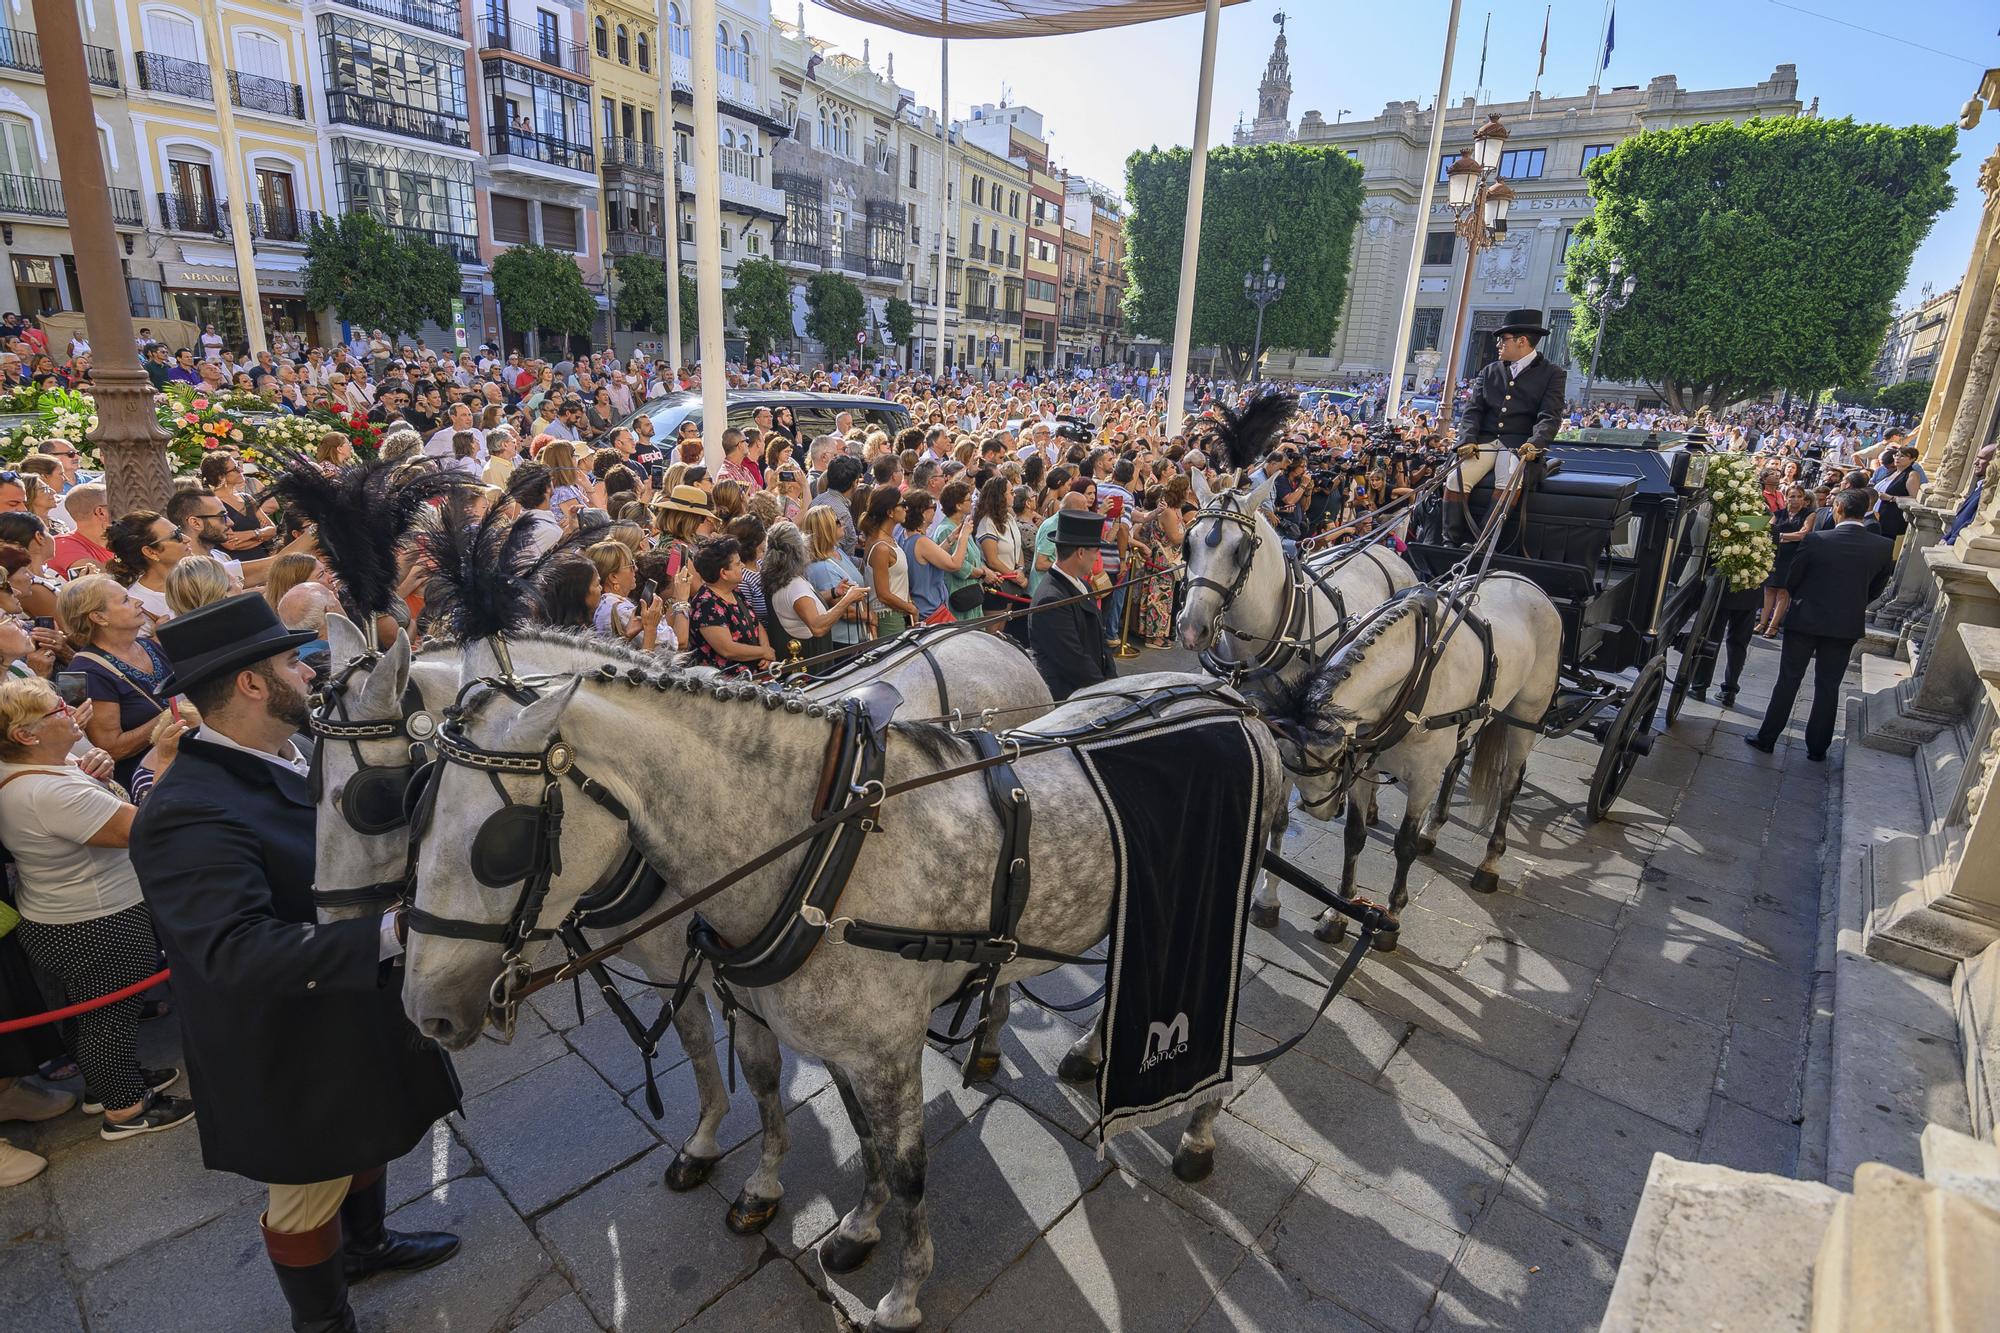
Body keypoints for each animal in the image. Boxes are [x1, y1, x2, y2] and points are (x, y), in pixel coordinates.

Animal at [398, 660, 1288, 1320]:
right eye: (415, 816)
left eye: (501, 844)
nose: (425, 1012)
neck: (819, 844)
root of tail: (1232, 695)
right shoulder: (825, 1039)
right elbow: (858, 1138)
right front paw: (858, 1228)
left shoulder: (887, 1048)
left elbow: (909, 1166)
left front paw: (903, 1292)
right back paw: (1093, 1048)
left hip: (1220, 908)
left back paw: (1198, 1128)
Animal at [1168, 472, 1424, 928]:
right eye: (1189, 544)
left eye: (1240, 550)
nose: (1192, 628)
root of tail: (1383, 546)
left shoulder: (1286, 733)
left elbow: (1279, 819)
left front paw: (1266, 898)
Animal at [1272, 576, 1568, 940]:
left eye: (1332, 760)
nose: (1320, 811)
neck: (1413, 673)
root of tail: (1529, 585)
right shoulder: (1363, 770)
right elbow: (1354, 836)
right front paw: (1338, 912)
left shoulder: (1424, 779)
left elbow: (1404, 845)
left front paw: (1391, 917)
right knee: (1457, 762)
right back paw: (1433, 830)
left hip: (1525, 716)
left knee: (1511, 782)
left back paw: (1489, 863)